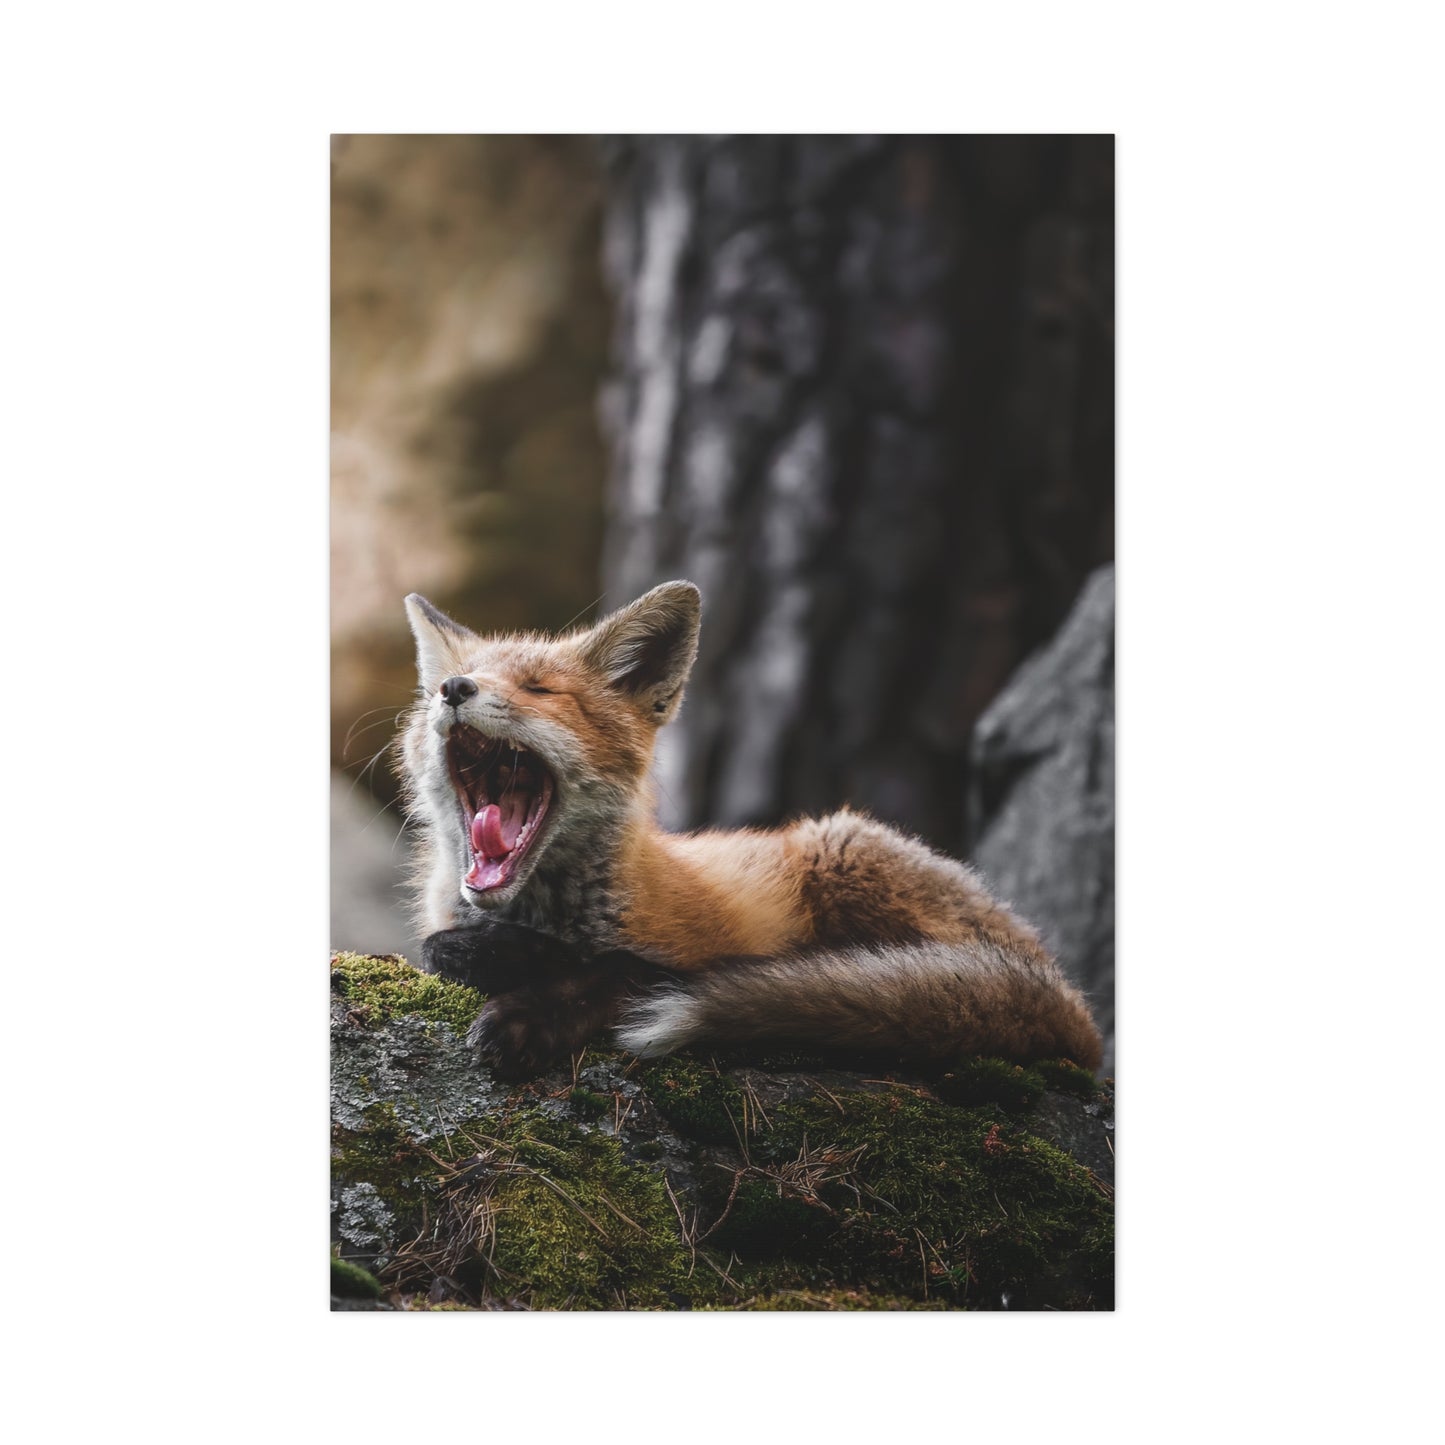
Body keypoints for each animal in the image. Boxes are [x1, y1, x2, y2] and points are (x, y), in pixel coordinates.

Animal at [397, 581, 1102, 1080]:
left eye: (539, 690)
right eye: (435, 693)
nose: (454, 689)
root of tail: (1072, 1001)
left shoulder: (694, 949)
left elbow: (626, 970)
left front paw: (528, 1009)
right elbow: (438, 947)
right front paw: (494, 958)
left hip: (841, 850)